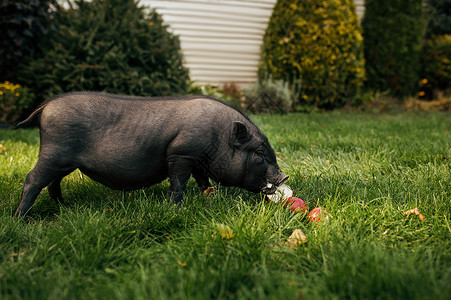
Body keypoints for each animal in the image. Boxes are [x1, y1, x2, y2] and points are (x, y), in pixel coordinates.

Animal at [15, 92, 290, 217]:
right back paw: (20, 217)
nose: (284, 177)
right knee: (33, 179)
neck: (218, 136)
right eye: (258, 154)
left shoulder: (199, 160)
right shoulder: (181, 153)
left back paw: (64, 206)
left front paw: (209, 197)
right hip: (54, 153)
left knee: (53, 182)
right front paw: (176, 209)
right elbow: (178, 183)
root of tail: (46, 105)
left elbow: (203, 181)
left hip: (64, 161)